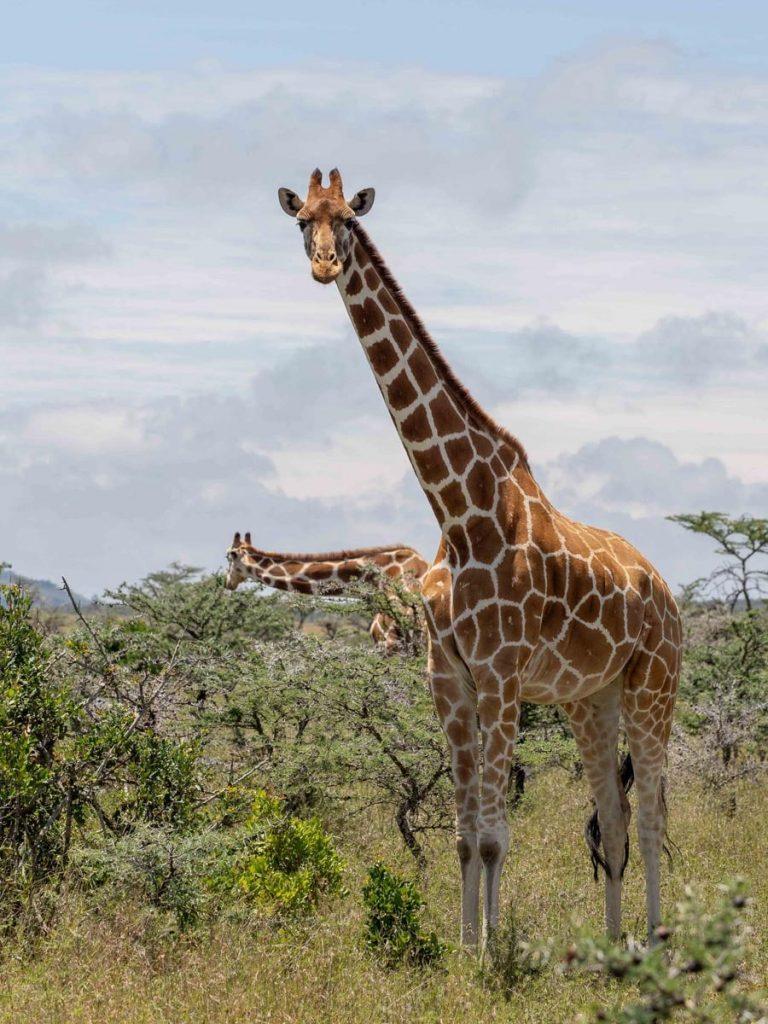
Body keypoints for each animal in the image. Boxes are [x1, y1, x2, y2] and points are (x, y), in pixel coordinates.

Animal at [276, 169, 682, 948]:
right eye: (300, 220)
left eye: (349, 221)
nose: (324, 266)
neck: (460, 511)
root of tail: (668, 595)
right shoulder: (451, 678)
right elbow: (466, 836)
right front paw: (467, 947)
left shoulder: (500, 675)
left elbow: (496, 836)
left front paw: (492, 956)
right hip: (592, 698)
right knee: (613, 821)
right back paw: (612, 941)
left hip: (656, 684)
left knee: (649, 816)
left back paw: (653, 939)